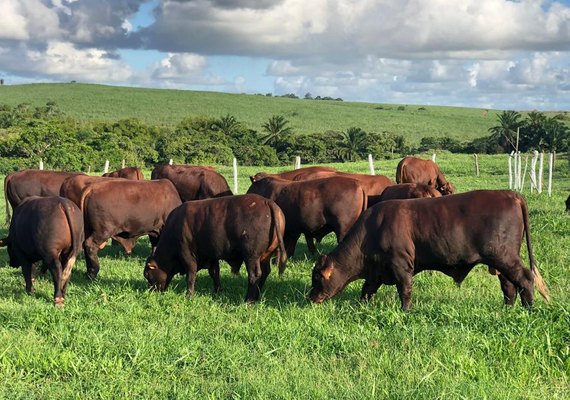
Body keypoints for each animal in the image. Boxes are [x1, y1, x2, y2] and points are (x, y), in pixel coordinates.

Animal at [142, 195, 284, 304]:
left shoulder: (187, 256)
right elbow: (215, 273)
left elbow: (191, 276)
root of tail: (267, 202)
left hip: (251, 257)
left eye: (147, 274)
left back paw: (248, 300)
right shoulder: (212, 256)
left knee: (254, 275)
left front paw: (189, 295)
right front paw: (218, 291)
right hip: (265, 256)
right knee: (265, 273)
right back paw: (257, 298)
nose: (151, 291)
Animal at [308, 190, 548, 310]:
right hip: (500, 261)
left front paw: (405, 311)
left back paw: (529, 308)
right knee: (509, 284)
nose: (311, 297)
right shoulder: (377, 271)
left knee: (525, 278)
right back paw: (508, 308)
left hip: (504, 256)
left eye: (317, 277)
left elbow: (405, 290)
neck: (372, 230)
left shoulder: (400, 265)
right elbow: (367, 290)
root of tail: (510, 194)